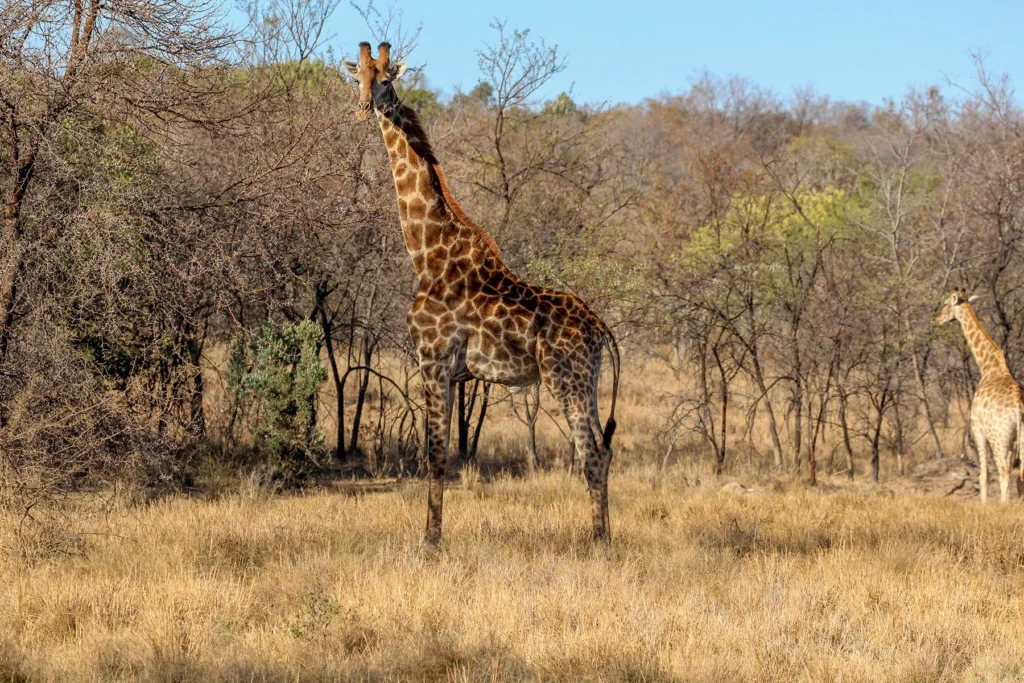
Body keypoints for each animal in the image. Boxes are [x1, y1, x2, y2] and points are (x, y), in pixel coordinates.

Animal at [342, 42, 621, 546]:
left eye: (387, 79)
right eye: (358, 79)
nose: (365, 107)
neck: (427, 254)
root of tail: (600, 329)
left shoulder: (433, 360)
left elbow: (434, 455)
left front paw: (430, 542)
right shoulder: (455, 373)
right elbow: (440, 454)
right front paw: (433, 537)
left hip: (564, 379)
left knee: (590, 452)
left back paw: (598, 544)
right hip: (588, 382)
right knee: (603, 451)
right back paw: (603, 537)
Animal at [936, 288, 1024, 502]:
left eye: (945, 303)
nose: (937, 319)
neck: (989, 366)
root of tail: (1018, 406)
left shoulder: (978, 429)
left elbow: (984, 475)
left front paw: (984, 505)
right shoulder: (1012, 440)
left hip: (997, 436)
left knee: (1004, 471)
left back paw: (1003, 505)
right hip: (1019, 437)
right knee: (1020, 472)